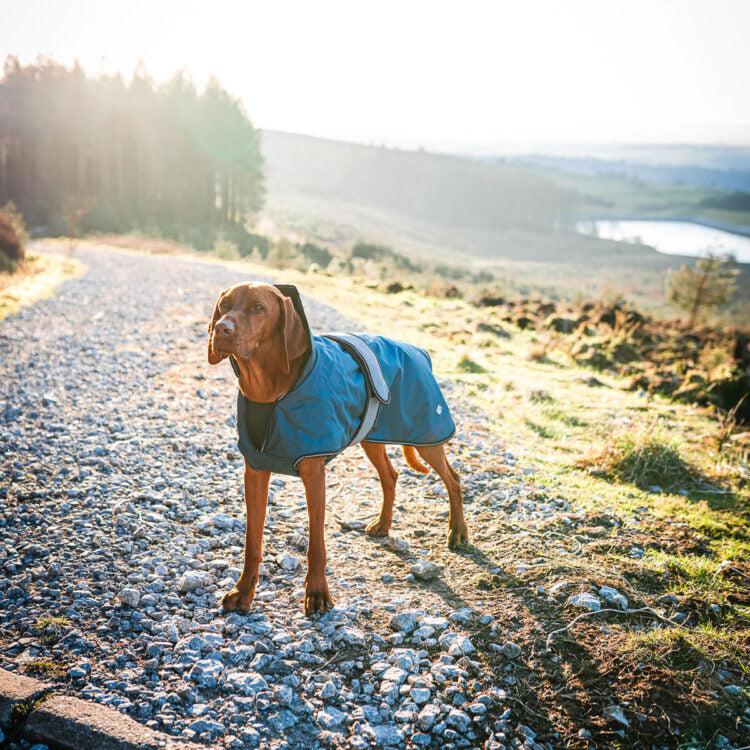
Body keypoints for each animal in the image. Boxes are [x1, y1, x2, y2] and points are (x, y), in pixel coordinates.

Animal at [209, 282, 470, 616]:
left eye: (258, 308)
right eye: (224, 305)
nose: (221, 328)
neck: (271, 392)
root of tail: (419, 351)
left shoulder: (313, 473)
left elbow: (316, 545)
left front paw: (317, 594)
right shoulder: (254, 470)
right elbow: (252, 542)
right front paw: (243, 592)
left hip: (427, 436)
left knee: (453, 478)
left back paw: (457, 531)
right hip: (372, 437)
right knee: (391, 475)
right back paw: (384, 524)